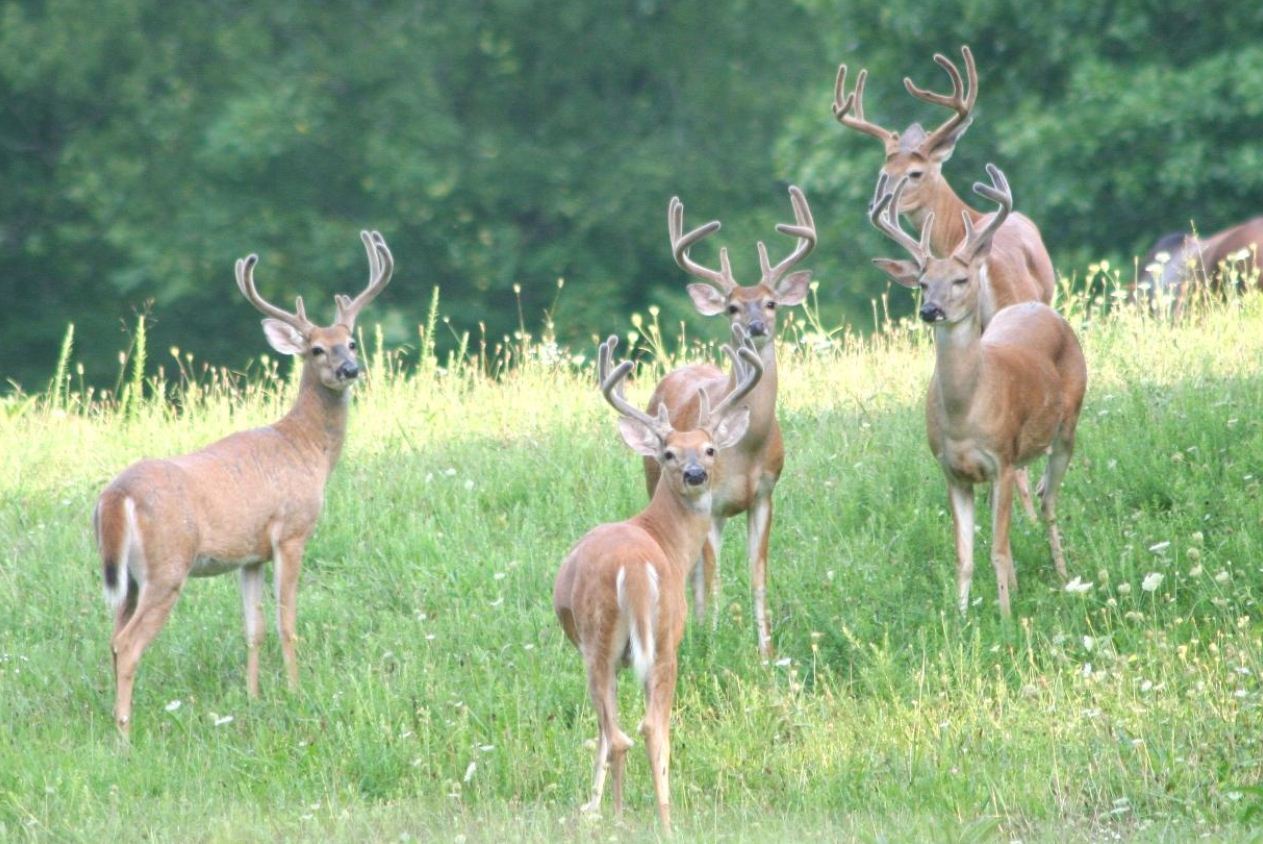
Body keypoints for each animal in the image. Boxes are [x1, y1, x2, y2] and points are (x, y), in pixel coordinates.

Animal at [93, 228, 391, 732]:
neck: (305, 449)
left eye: (350, 342)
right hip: (167, 565)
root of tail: (118, 494)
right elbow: (286, 621)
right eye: (316, 349)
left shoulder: (250, 555)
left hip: (126, 577)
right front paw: (295, 691)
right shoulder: (291, 531)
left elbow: (253, 628)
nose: (349, 370)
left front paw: (253, 698)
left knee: (112, 636)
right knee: (127, 643)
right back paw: (124, 733)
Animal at [553, 328, 757, 828]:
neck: (663, 539)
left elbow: (604, 731)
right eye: (668, 452)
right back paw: (659, 818)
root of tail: (634, 569)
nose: (696, 473)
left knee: (625, 730)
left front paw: (592, 804)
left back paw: (631, 817)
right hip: (659, 638)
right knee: (645, 726)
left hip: (608, 640)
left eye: (709, 448)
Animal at [641, 184, 818, 657]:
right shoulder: (713, 503)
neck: (747, 448)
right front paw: (715, 642)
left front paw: (765, 652)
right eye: (733, 307)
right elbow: (714, 579)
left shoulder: (765, 494)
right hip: (656, 479)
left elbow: (758, 576)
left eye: (771, 302)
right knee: (694, 572)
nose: (756, 326)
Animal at [868, 164, 1086, 616]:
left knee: (1048, 499)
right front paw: (961, 617)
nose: (930, 310)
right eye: (921, 282)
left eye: (961, 279)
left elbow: (998, 550)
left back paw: (1062, 574)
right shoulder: (953, 471)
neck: (964, 412)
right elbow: (964, 555)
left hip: (1068, 425)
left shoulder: (1001, 458)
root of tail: (1040, 308)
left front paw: (1004, 618)